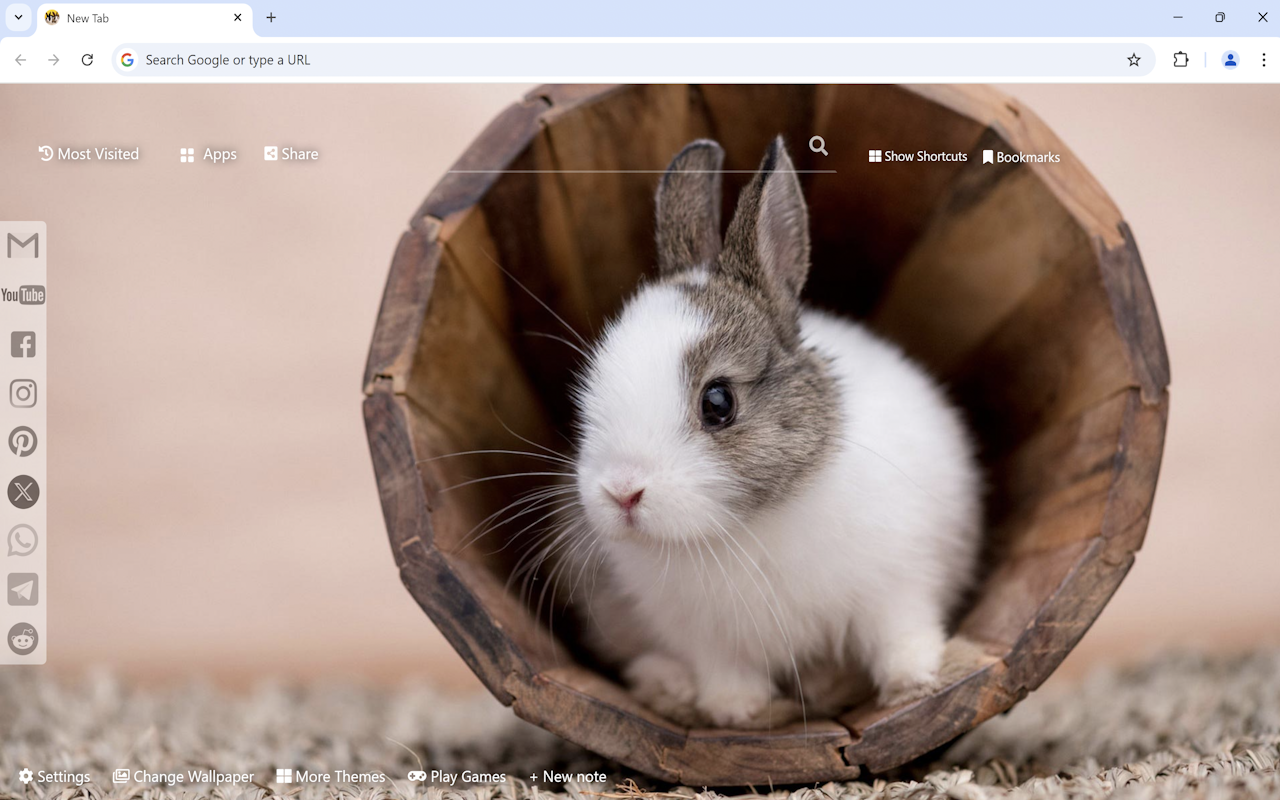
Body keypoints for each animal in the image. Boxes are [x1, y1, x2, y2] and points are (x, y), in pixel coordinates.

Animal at [560, 136, 982, 729]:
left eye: (718, 403)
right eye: (591, 386)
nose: (622, 492)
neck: (740, 527)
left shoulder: (898, 583)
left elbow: (899, 632)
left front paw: (914, 682)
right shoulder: (704, 638)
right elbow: (725, 673)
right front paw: (737, 711)